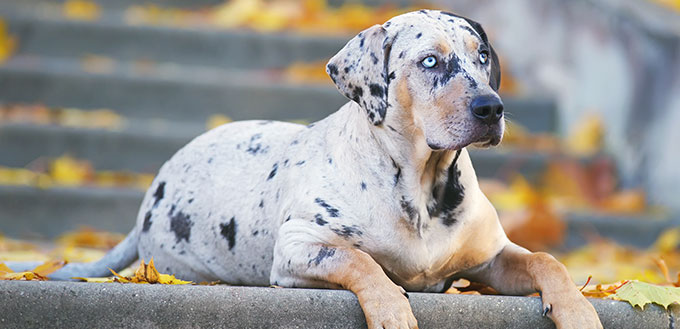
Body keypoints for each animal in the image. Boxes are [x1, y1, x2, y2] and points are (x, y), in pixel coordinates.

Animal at [7, 9, 604, 326]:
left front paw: (577, 309)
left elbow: (548, 260)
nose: (490, 108)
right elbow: (360, 261)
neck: (422, 186)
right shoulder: (299, 249)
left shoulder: (492, 257)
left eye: (482, 56)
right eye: (430, 61)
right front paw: (391, 308)